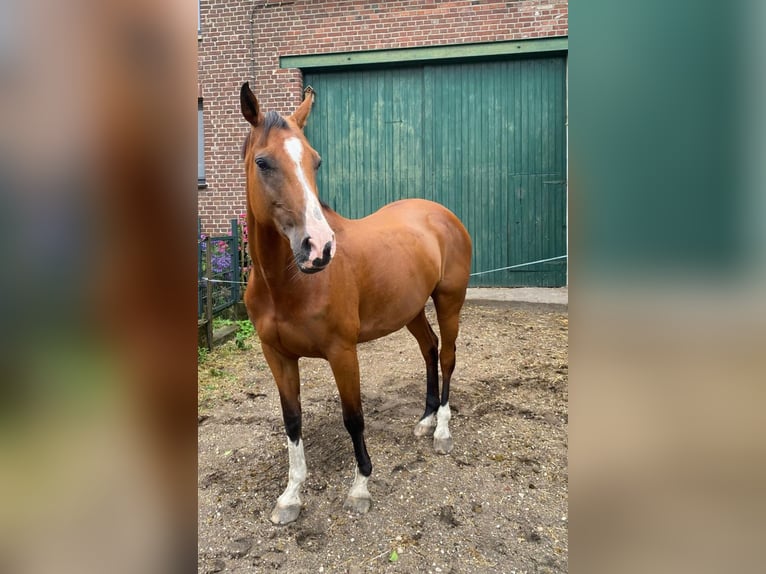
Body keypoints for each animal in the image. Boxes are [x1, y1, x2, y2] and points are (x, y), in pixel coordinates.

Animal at [239, 82, 472, 525]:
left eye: (315, 161)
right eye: (263, 162)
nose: (319, 248)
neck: (285, 283)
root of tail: (441, 213)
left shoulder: (342, 352)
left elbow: (353, 417)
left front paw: (361, 485)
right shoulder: (276, 355)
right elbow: (292, 420)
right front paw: (291, 496)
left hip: (449, 300)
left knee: (448, 355)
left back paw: (442, 430)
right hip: (410, 310)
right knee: (430, 348)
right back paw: (425, 419)